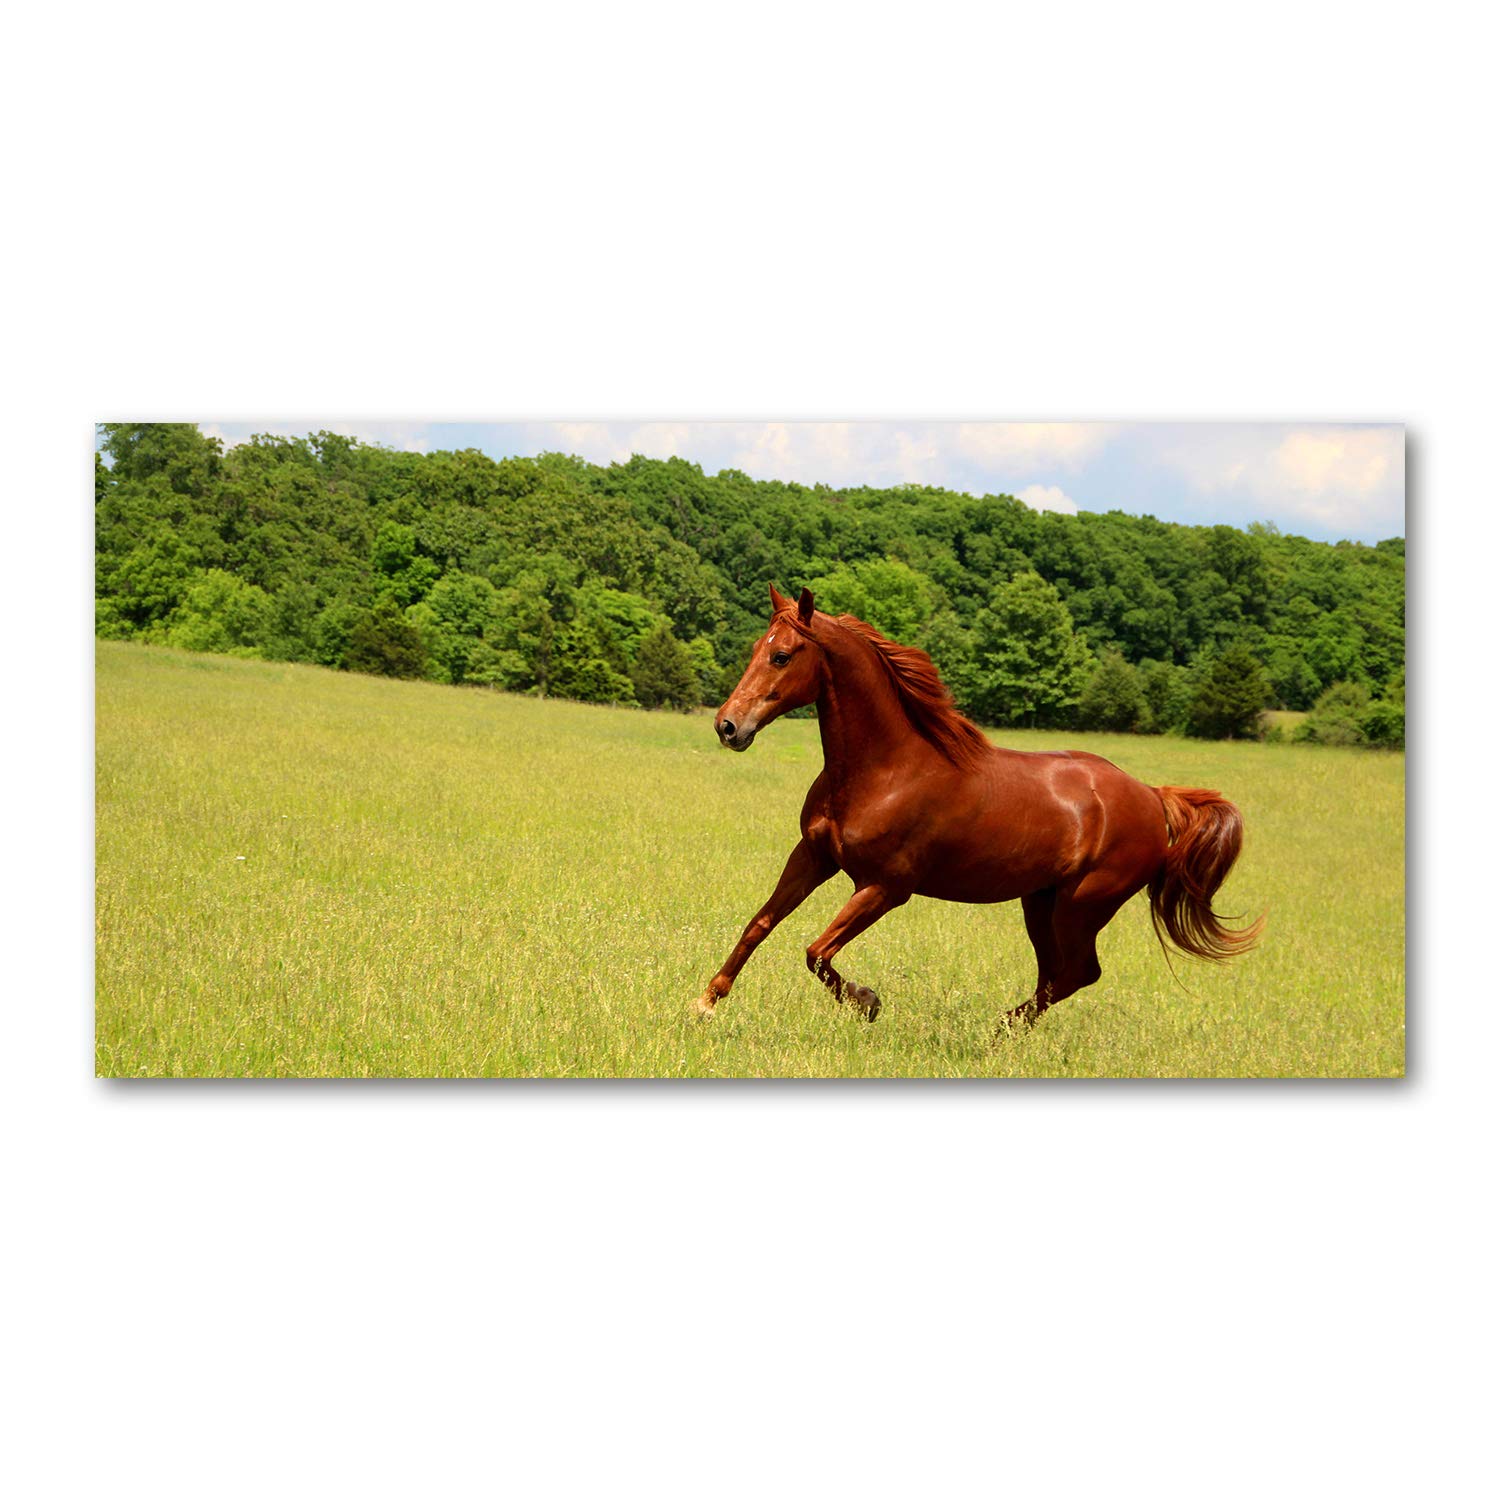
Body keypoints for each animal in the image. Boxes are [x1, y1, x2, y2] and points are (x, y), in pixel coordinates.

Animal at [694, 584, 1262, 1029]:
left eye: (783, 655)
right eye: (756, 647)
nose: (728, 726)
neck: (885, 770)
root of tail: (1151, 795)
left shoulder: (884, 888)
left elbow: (816, 952)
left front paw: (868, 1001)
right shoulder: (812, 857)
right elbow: (759, 925)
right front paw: (705, 1002)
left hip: (1082, 906)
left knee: (1078, 973)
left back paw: (999, 1029)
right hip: (1041, 902)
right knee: (1057, 974)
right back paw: (1005, 1030)